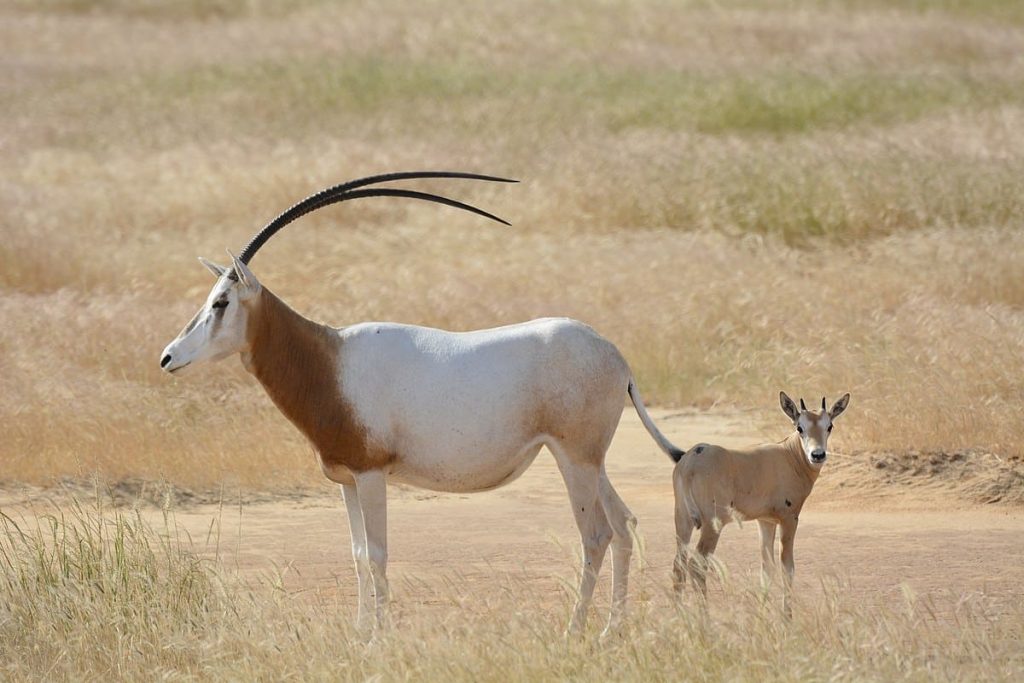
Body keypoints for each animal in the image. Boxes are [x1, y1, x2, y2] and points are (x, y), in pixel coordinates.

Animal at [638, 389, 847, 614]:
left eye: (829, 426)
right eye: (800, 427)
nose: (817, 455)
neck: (790, 454)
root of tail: (690, 459)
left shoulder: (766, 521)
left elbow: (767, 568)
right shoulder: (789, 519)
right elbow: (787, 568)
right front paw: (787, 616)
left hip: (683, 520)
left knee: (679, 565)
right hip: (713, 525)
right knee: (696, 565)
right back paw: (704, 618)